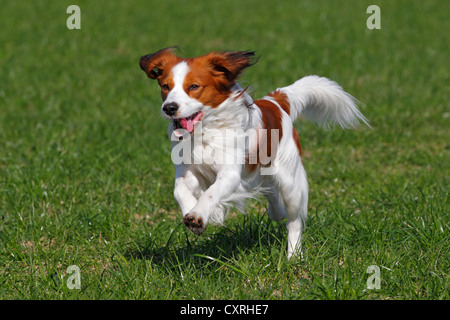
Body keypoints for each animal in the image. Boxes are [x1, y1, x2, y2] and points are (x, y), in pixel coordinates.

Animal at [140, 47, 370, 258]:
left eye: (194, 86)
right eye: (165, 86)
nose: (169, 107)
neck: (205, 132)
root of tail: (276, 102)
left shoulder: (230, 174)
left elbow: (210, 193)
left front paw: (198, 215)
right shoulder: (187, 170)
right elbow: (179, 190)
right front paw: (195, 213)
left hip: (290, 184)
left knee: (294, 221)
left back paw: (294, 256)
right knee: (272, 197)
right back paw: (276, 212)